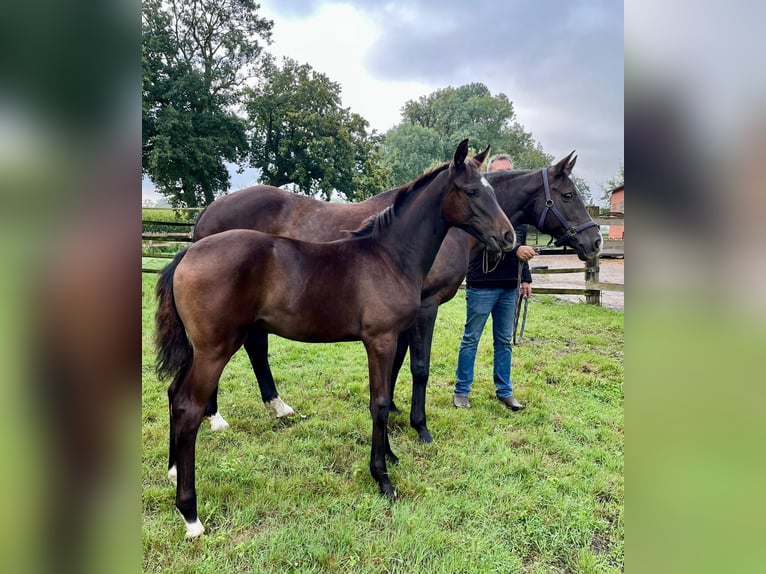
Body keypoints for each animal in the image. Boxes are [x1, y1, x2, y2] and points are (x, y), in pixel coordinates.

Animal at [156, 142, 516, 536]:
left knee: (174, 394)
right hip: (214, 349)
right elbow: (380, 402)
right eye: (472, 191)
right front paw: (383, 478)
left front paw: (391, 455)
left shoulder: (394, 336)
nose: (508, 237)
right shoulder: (381, 339)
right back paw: (190, 514)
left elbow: (389, 391)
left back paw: (172, 471)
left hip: (199, 349)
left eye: (494, 190)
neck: (389, 257)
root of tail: (187, 252)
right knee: (189, 407)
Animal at [195, 151, 604, 444]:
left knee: (252, 349)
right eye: (568, 195)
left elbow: (397, 362)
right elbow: (418, 367)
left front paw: (390, 409)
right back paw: (215, 416)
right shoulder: (426, 306)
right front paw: (418, 426)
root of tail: (208, 212)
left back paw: (274, 407)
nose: (595, 241)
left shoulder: (404, 315)